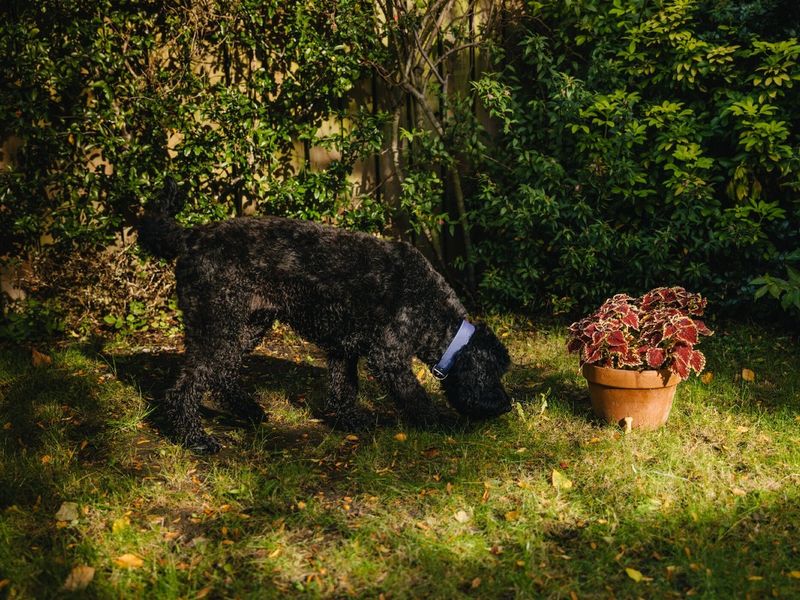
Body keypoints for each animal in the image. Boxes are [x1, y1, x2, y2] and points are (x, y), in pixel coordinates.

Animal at [138, 180, 510, 452]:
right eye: (493, 372)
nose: (506, 405)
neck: (433, 310)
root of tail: (190, 237)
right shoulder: (388, 356)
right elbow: (414, 396)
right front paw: (440, 423)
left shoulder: (343, 349)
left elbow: (343, 389)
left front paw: (353, 423)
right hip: (217, 325)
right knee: (186, 387)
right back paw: (195, 439)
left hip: (246, 327)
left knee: (222, 373)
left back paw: (250, 411)